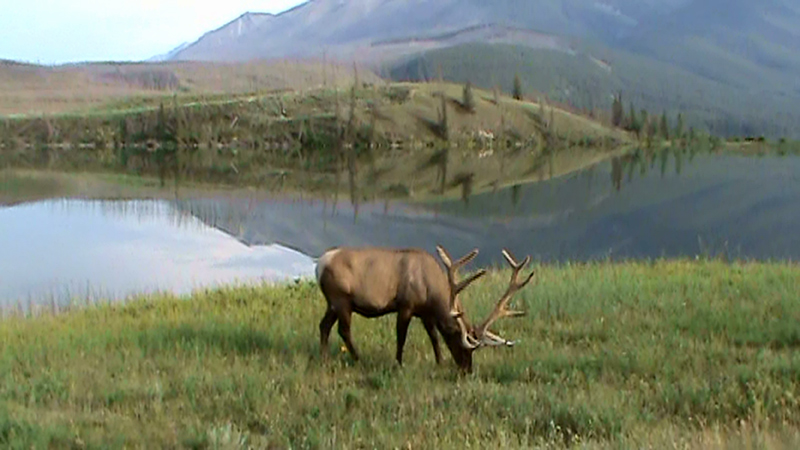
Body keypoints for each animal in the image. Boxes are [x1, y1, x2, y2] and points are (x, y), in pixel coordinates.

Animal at [316, 244, 536, 370]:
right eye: (462, 345)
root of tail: (319, 265)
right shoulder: (406, 305)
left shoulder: (425, 313)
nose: (467, 371)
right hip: (341, 299)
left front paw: (440, 361)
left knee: (324, 325)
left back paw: (325, 359)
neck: (432, 293)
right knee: (343, 330)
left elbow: (434, 336)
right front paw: (399, 363)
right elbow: (401, 337)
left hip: (332, 303)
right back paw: (358, 359)